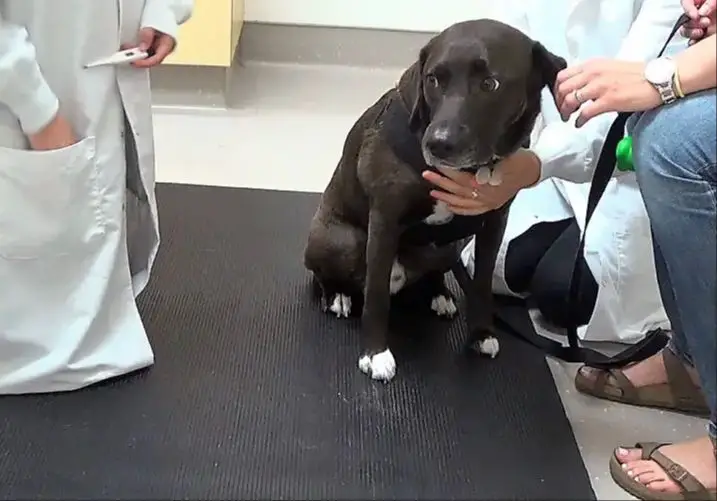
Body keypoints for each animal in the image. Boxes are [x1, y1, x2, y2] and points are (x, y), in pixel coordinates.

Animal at [302, 17, 564, 380]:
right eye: (433, 79)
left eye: (490, 83)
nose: (439, 143)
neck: (469, 171)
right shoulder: (384, 221)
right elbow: (376, 295)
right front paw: (375, 354)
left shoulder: (494, 223)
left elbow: (481, 284)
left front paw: (481, 334)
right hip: (340, 240)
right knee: (332, 277)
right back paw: (338, 296)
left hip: (450, 247)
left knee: (437, 271)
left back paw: (439, 295)